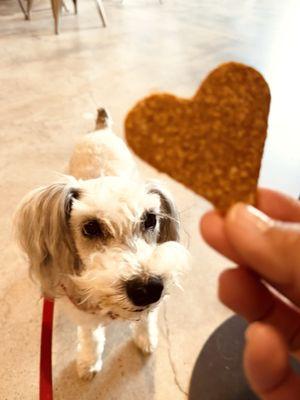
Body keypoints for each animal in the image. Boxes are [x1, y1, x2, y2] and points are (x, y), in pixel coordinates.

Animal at [15, 109, 189, 382]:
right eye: (90, 227)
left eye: (151, 219)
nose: (148, 289)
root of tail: (100, 128)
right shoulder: (84, 315)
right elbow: (91, 338)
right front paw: (88, 363)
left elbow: (146, 319)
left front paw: (146, 339)